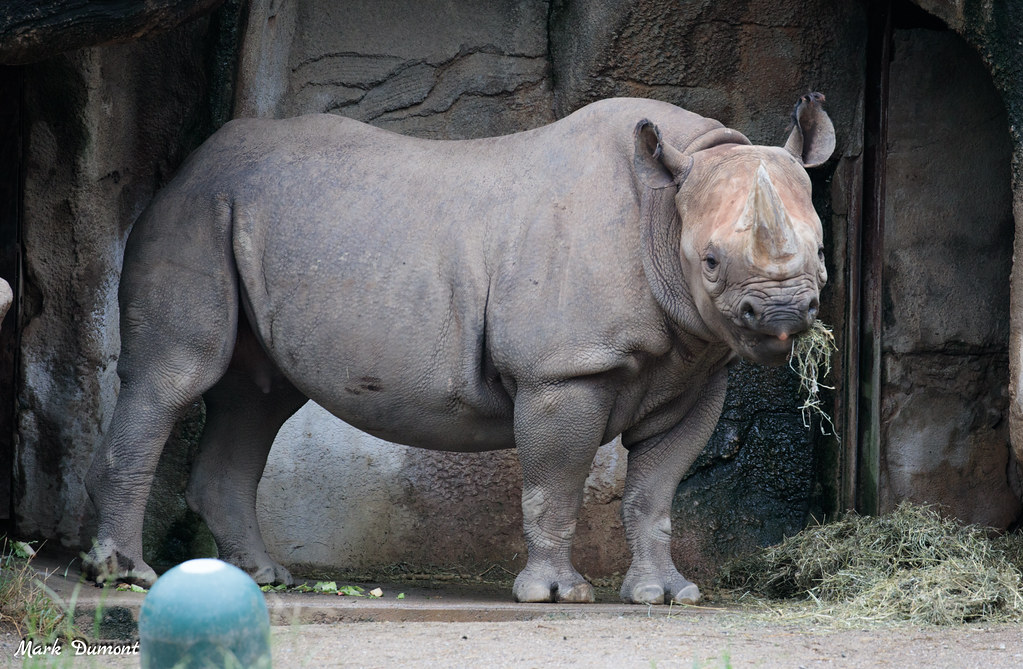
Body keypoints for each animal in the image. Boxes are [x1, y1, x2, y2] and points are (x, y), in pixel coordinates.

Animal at [84, 94, 834, 604]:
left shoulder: (695, 370)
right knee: (177, 377)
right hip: (194, 214)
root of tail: (186, 166)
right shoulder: (562, 371)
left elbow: (654, 493)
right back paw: (125, 575)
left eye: (823, 253)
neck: (665, 206)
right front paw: (556, 594)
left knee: (256, 398)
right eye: (710, 262)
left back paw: (263, 578)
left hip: (241, 216)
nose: (780, 313)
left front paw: (666, 595)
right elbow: (554, 484)